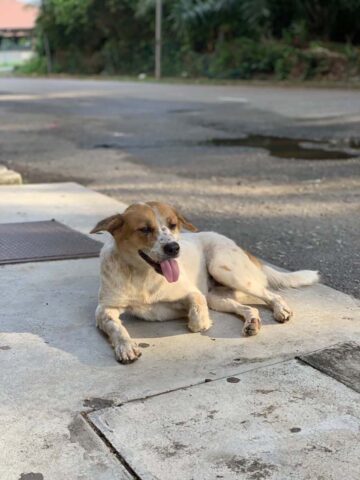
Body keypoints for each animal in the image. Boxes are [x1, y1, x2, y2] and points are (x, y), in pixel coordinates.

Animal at [90, 202, 318, 364]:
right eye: (145, 229)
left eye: (173, 225)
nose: (174, 248)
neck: (142, 275)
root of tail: (243, 249)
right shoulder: (104, 308)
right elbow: (115, 327)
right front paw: (126, 346)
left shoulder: (193, 293)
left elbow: (197, 316)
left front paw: (196, 321)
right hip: (217, 297)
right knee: (249, 308)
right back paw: (252, 322)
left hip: (224, 269)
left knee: (272, 295)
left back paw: (281, 310)